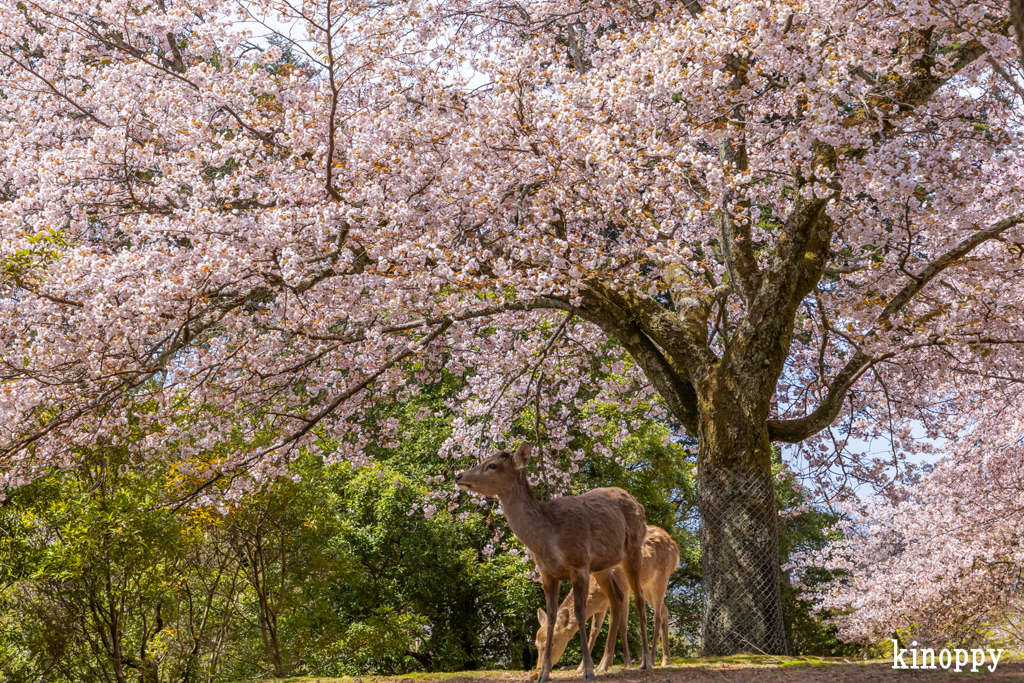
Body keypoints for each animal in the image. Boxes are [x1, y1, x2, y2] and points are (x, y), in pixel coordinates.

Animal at [458, 440, 655, 679]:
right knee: (616, 599)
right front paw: (544, 674)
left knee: (639, 599)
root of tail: (638, 503)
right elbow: (551, 616)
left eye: (492, 465)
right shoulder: (547, 573)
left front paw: (586, 671)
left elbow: (579, 613)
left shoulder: (579, 564)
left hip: (633, 548)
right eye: (536, 644)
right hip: (602, 567)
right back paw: (605, 665)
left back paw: (645, 662)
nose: (459, 475)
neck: (548, 540)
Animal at [536, 528, 679, 671]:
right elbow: (594, 630)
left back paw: (655, 659)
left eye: (552, 643)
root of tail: (676, 548)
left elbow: (622, 626)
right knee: (665, 610)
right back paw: (666, 659)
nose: (538, 668)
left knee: (657, 617)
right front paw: (582, 667)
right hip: (647, 586)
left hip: (661, 579)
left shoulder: (625, 590)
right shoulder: (601, 607)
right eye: (536, 644)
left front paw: (626, 663)